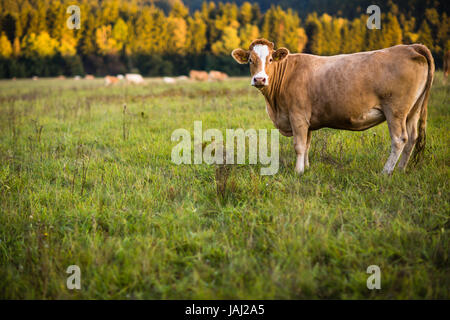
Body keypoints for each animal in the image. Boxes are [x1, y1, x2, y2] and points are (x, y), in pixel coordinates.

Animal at [230, 39, 434, 178]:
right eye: (250, 60)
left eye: (271, 59)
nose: (259, 79)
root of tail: (410, 47)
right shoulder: (307, 121)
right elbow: (307, 145)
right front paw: (306, 168)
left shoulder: (297, 116)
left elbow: (299, 146)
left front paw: (298, 171)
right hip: (413, 111)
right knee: (412, 138)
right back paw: (400, 170)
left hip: (396, 110)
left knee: (400, 139)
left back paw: (386, 172)